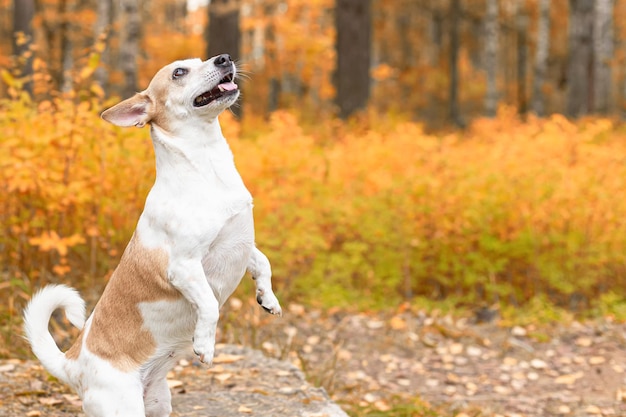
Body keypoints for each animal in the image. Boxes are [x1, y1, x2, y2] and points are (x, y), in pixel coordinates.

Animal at [22, 53, 280, 414]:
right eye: (179, 72)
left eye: (202, 60)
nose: (224, 58)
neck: (207, 166)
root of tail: (72, 364)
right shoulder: (184, 267)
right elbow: (209, 304)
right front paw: (205, 344)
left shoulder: (242, 245)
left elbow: (263, 264)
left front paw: (267, 298)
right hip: (122, 405)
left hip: (157, 402)